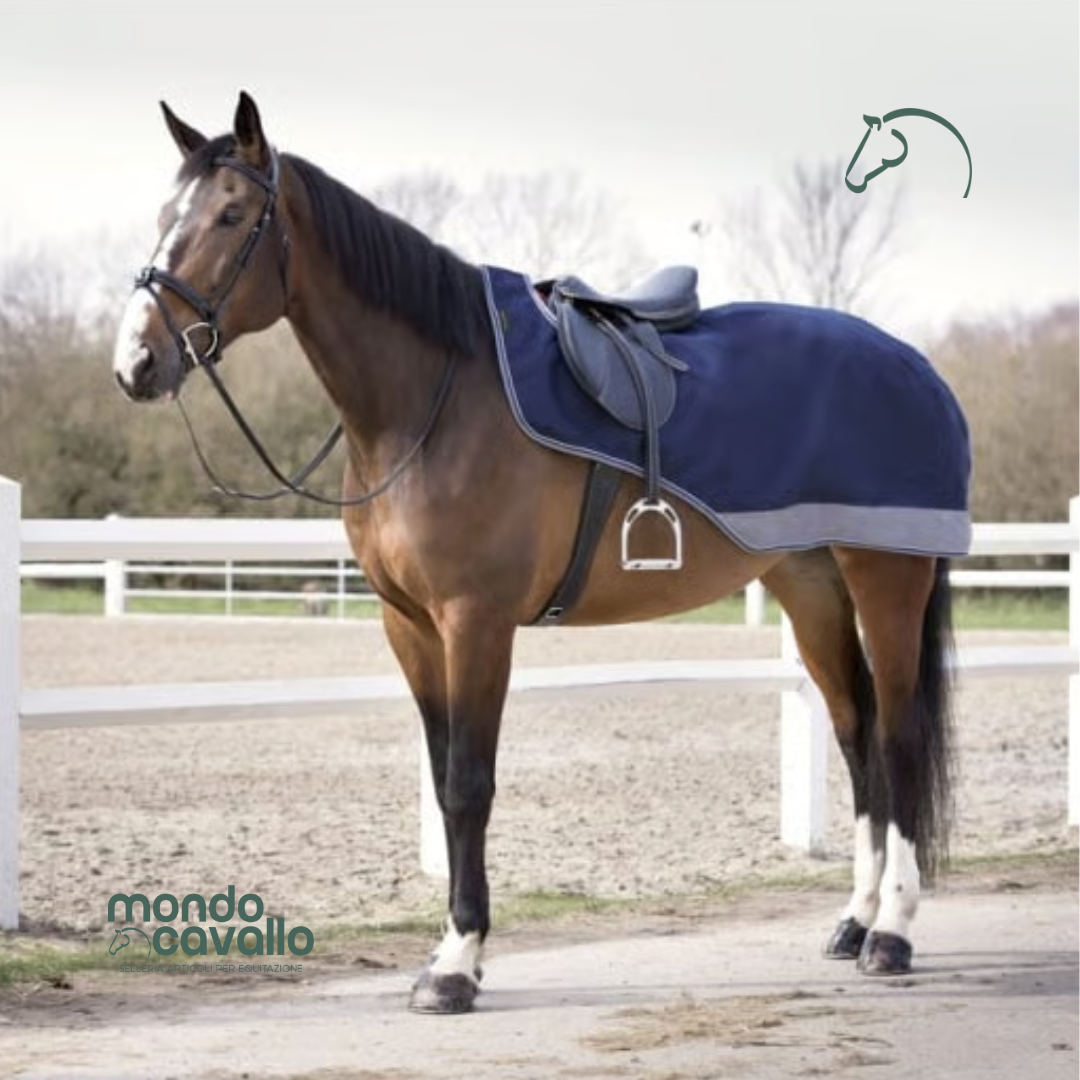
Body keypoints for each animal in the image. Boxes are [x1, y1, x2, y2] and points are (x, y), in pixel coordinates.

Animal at [112, 92, 970, 1014]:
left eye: (232, 215)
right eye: (163, 216)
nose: (136, 362)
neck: (433, 399)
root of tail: (918, 369)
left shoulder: (476, 622)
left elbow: (468, 785)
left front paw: (456, 965)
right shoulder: (409, 626)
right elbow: (443, 777)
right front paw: (453, 951)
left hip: (885, 579)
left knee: (899, 739)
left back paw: (892, 933)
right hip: (810, 586)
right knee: (856, 735)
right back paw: (853, 921)